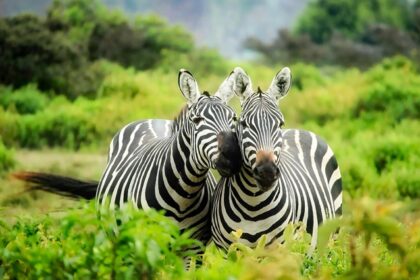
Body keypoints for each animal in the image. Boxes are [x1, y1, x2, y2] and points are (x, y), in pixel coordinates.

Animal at [14, 69, 241, 243]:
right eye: (197, 120)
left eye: (234, 118)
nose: (232, 156)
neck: (184, 194)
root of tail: (152, 119)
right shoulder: (147, 240)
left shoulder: (194, 247)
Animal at [212, 66, 342, 250]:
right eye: (243, 124)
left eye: (280, 124)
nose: (267, 172)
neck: (253, 205)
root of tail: (300, 130)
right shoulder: (225, 250)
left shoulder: (279, 248)